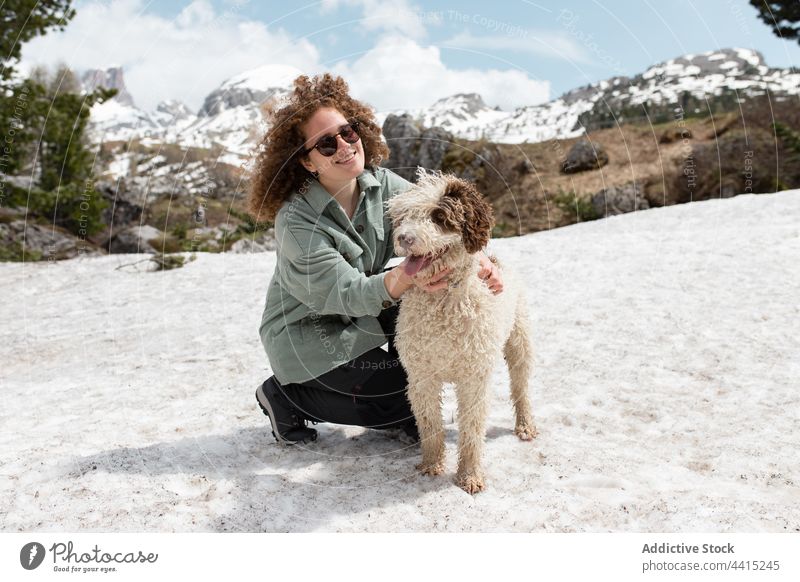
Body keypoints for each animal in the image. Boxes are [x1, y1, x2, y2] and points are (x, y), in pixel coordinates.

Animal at [388, 171, 536, 496]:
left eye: (438, 216)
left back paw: (525, 425)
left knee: (521, 387)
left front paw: (469, 476)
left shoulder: (473, 378)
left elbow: (472, 429)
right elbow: (430, 424)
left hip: (519, 340)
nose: (404, 238)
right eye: (404, 216)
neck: (443, 305)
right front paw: (431, 464)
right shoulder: (421, 376)